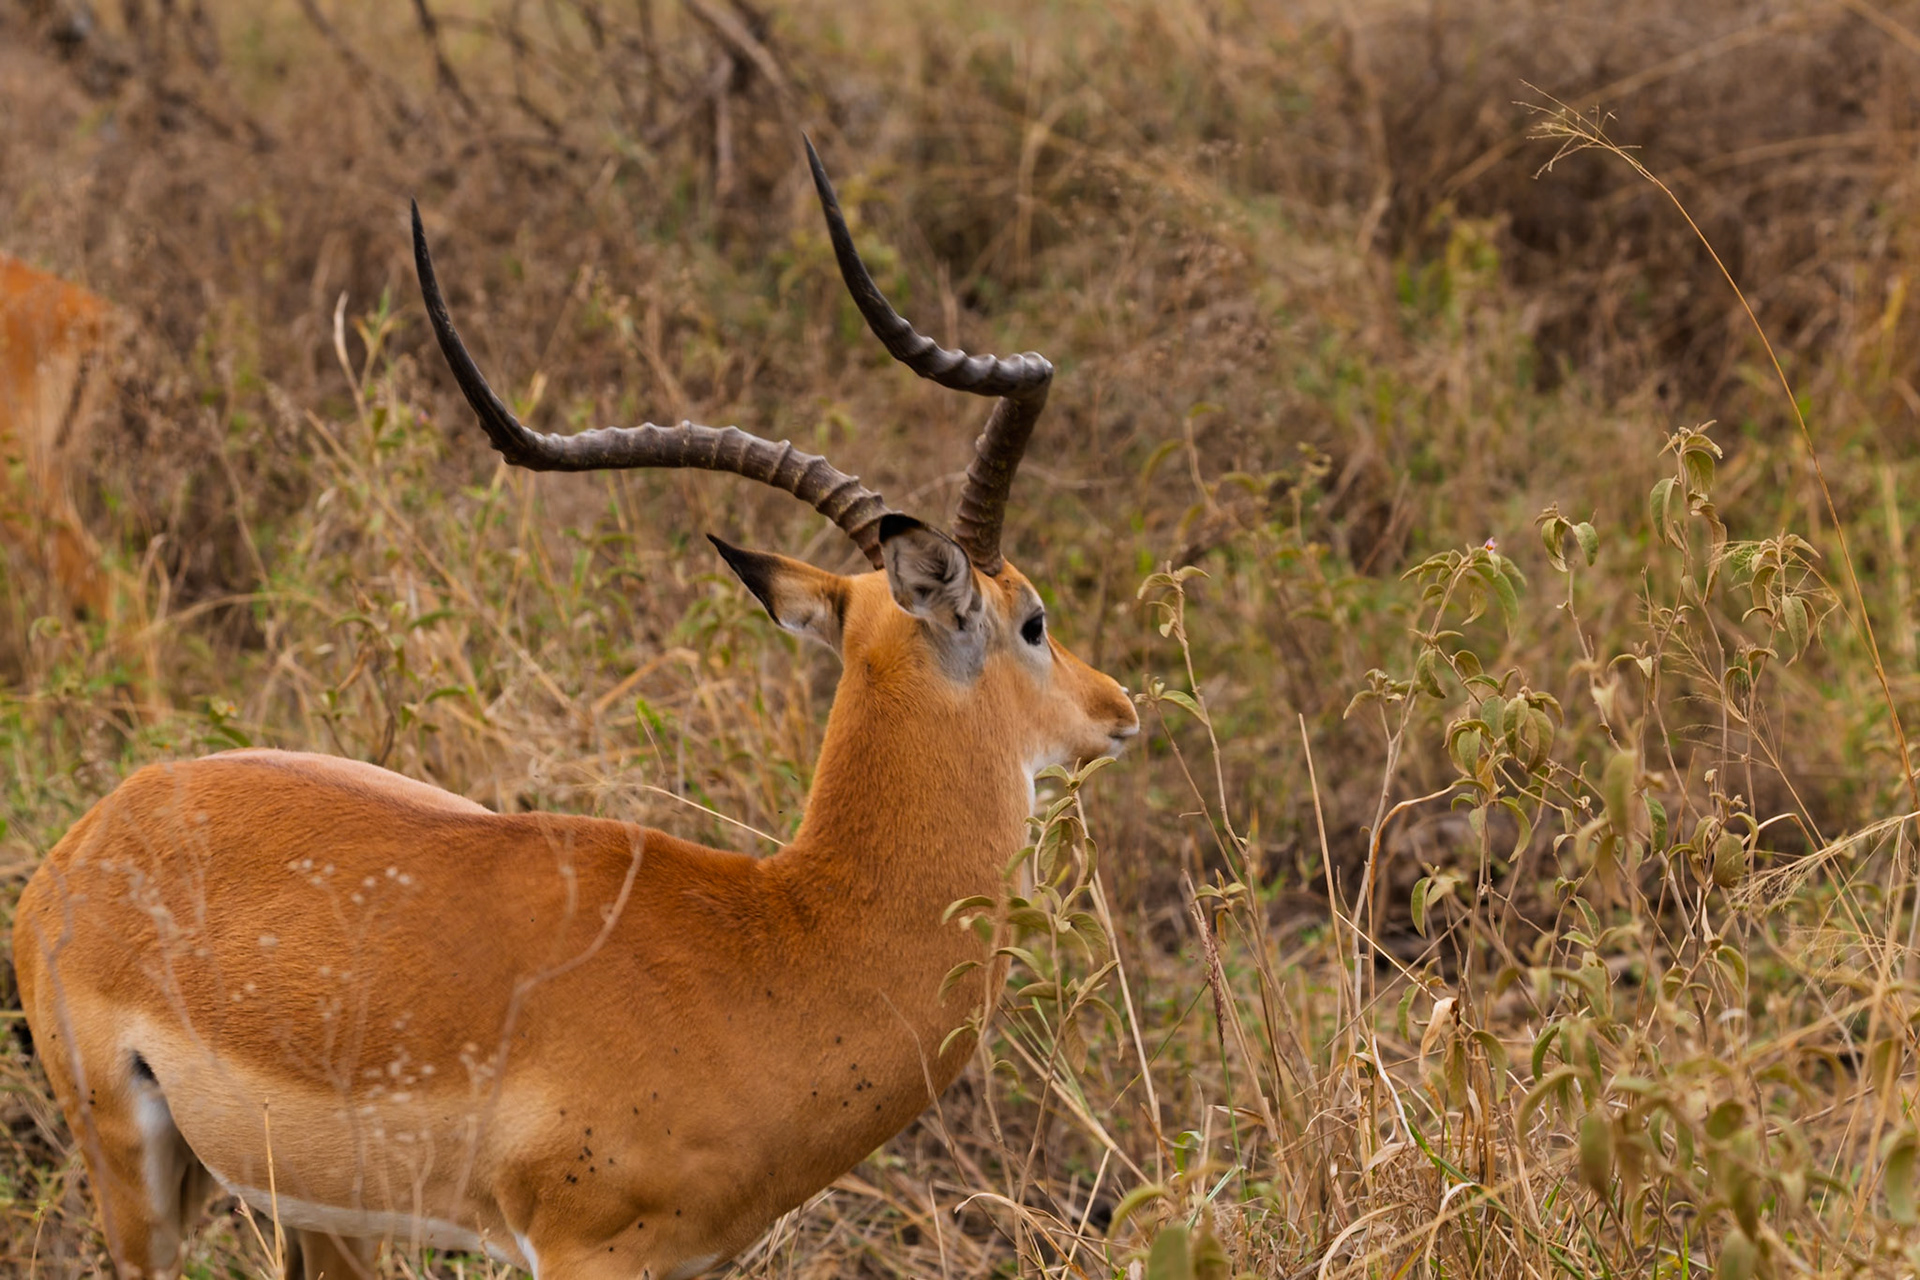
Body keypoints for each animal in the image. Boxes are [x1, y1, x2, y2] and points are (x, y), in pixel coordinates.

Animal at [13, 141, 1140, 1280]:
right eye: (1034, 619)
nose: (1120, 708)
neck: (789, 942)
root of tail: (94, 831)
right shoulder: (584, 1250)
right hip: (133, 1175)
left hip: (325, 1215)